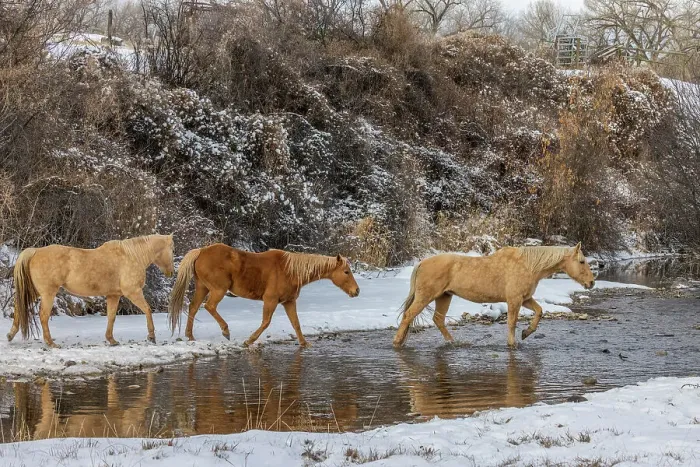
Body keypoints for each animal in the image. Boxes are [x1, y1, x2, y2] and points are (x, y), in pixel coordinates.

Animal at [8, 234, 175, 348]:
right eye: (172, 249)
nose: (171, 272)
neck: (132, 256)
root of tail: (35, 251)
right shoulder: (133, 292)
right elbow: (147, 309)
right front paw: (151, 336)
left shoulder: (113, 295)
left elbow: (111, 317)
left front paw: (111, 339)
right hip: (48, 293)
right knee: (43, 316)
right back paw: (51, 343)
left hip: (35, 292)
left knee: (19, 307)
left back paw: (11, 334)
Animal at [168, 243, 360, 347]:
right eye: (346, 272)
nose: (356, 291)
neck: (290, 271)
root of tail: (201, 251)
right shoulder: (271, 300)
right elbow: (266, 322)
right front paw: (249, 341)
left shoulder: (289, 302)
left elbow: (296, 324)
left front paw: (304, 343)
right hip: (218, 290)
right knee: (209, 306)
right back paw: (225, 330)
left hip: (203, 288)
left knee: (193, 308)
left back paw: (190, 336)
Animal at [393, 243, 595, 349]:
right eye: (582, 261)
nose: (592, 282)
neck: (528, 265)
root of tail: (422, 263)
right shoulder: (514, 300)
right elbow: (512, 322)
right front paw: (513, 344)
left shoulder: (525, 299)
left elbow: (539, 311)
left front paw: (526, 333)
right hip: (426, 296)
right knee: (408, 316)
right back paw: (396, 342)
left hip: (444, 296)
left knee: (438, 320)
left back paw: (452, 342)